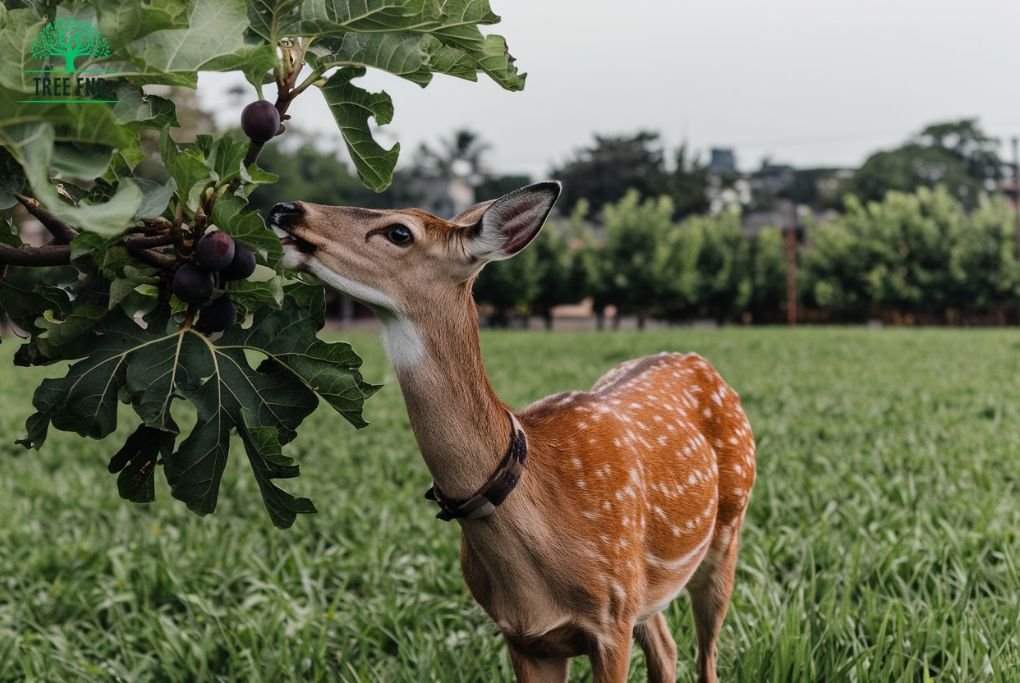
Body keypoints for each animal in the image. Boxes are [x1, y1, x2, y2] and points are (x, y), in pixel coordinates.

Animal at [271, 183, 758, 683]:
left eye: (399, 232)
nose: (285, 209)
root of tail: (700, 361)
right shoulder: (525, 635)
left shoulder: (611, 617)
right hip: (647, 589)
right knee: (666, 646)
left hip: (728, 525)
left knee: (706, 654)